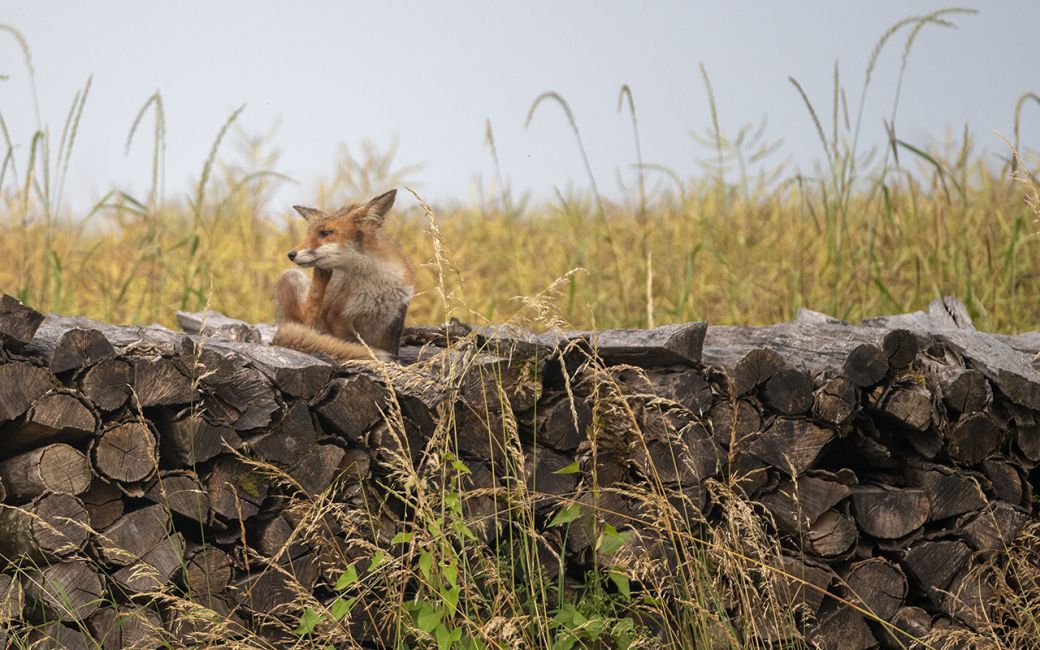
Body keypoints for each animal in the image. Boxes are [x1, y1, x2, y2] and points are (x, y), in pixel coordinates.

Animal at [270, 187, 411, 361]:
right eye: (308, 233)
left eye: (325, 233)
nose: (291, 254)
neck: (378, 283)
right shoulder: (337, 316)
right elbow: (354, 344)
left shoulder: (397, 315)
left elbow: (392, 347)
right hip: (290, 276)